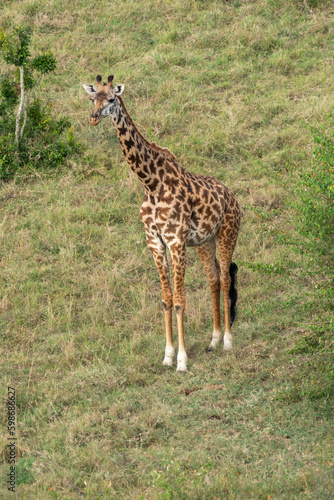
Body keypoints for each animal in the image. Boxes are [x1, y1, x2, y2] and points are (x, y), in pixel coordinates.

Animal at [83, 74, 240, 372]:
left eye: (112, 98)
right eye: (92, 97)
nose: (94, 118)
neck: (151, 183)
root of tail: (233, 197)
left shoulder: (176, 241)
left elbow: (179, 301)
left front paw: (182, 360)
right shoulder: (154, 242)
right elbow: (166, 300)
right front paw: (167, 356)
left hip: (228, 234)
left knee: (226, 279)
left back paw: (227, 341)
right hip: (204, 242)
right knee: (213, 279)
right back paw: (213, 340)